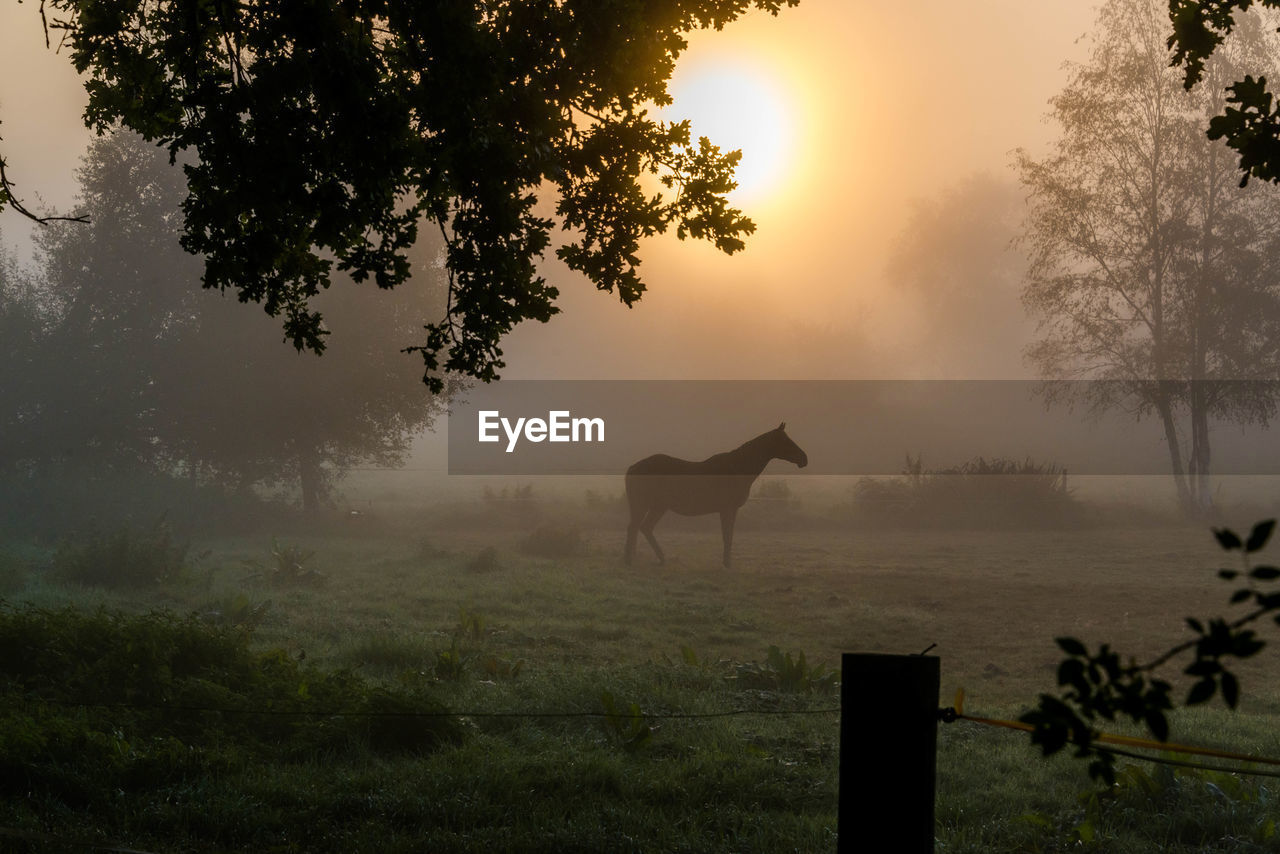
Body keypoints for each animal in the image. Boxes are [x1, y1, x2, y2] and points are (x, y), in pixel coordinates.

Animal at [622, 422, 808, 568]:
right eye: (786, 441)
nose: (804, 459)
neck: (736, 468)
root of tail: (632, 467)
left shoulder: (730, 510)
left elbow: (729, 535)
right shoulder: (727, 509)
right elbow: (727, 535)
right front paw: (727, 564)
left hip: (658, 507)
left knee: (644, 528)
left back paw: (659, 558)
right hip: (644, 505)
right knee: (634, 527)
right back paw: (631, 560)